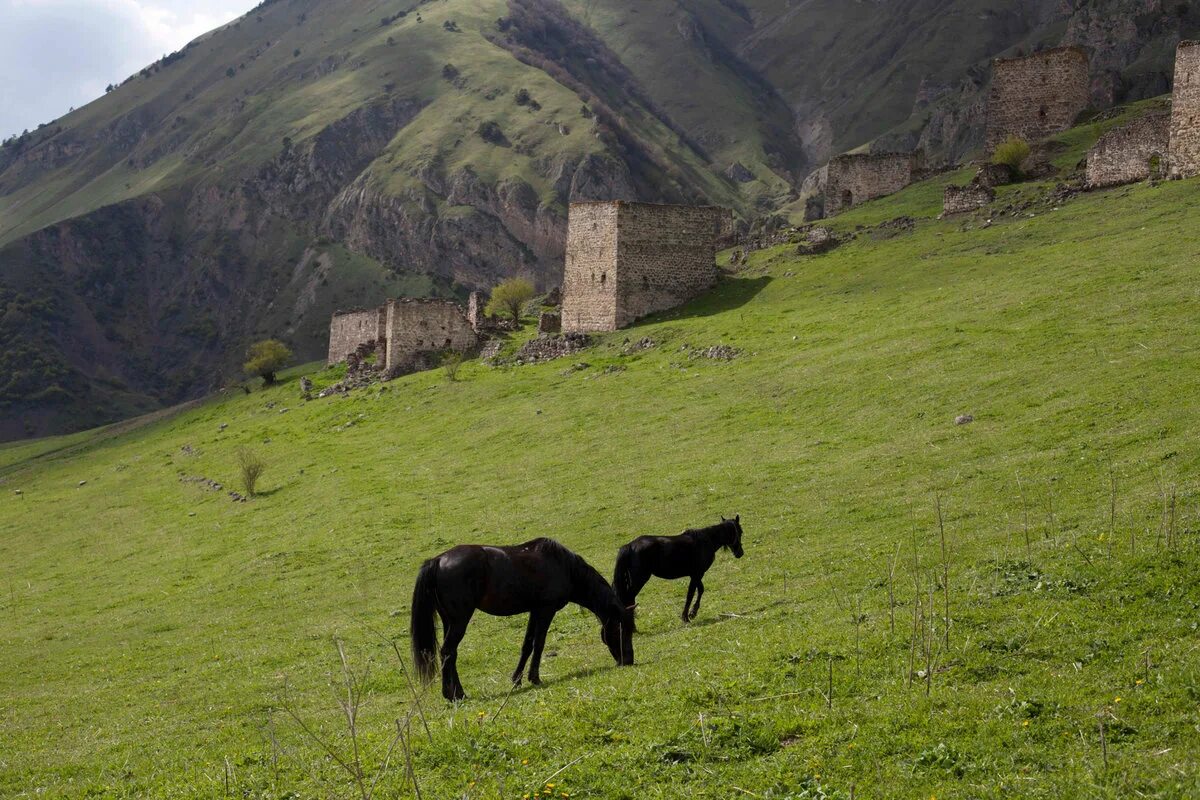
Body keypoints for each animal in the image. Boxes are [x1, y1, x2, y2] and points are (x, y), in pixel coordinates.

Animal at [410, 537, 638, 700]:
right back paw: (453, 695)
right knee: (448, 652)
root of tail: (438, 561)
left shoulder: (534, 611)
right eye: (621, 629)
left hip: (449, 621)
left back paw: (457, 692)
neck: (564, 566)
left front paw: (517, 679)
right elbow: (539, 643)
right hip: (459, 621)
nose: (628, 660)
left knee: (450, 654)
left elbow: (527, 644)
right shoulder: (546, 610)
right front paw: (534, 678)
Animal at [614, 520, 744, 623]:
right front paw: (687, 616)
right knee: (628, 599)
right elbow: (691, 594)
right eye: (740, 531)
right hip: (639, 580)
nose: (740, 553)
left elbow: (700, 590)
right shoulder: (697, 574)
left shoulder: (695, 575)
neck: (706, 540)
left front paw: (692, 613)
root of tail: (630, 546)